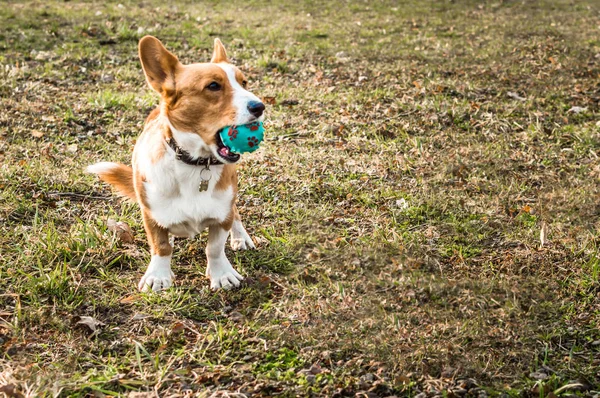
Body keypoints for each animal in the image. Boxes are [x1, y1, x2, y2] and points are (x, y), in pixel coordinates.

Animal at [85, 36, 264, 292]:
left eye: (244, 82)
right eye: (213, 86)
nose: (260, 106)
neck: (195, 163)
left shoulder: (222, 214)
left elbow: (214, 248)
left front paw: (221, 274)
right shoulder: (150, 214)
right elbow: (161, 246)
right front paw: (158, 276)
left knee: (235, 213)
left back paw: (241, 237)